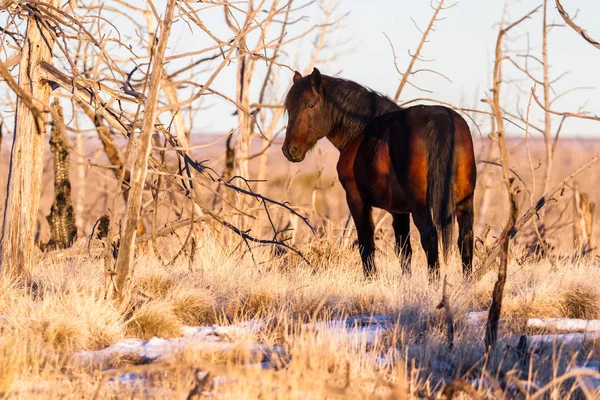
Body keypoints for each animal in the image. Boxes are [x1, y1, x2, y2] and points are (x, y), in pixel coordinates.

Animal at [280, 69, 474, 280]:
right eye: (289, 107)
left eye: (310, 104)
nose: (290, 150)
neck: (361, 132)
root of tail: (440, 118)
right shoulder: (399, 212)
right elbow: (404, 250)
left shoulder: (357, 201)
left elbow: (366, 244)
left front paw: (370, 278)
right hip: (464, 202)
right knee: (465, 239)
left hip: (421, 205)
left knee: (430, 237)